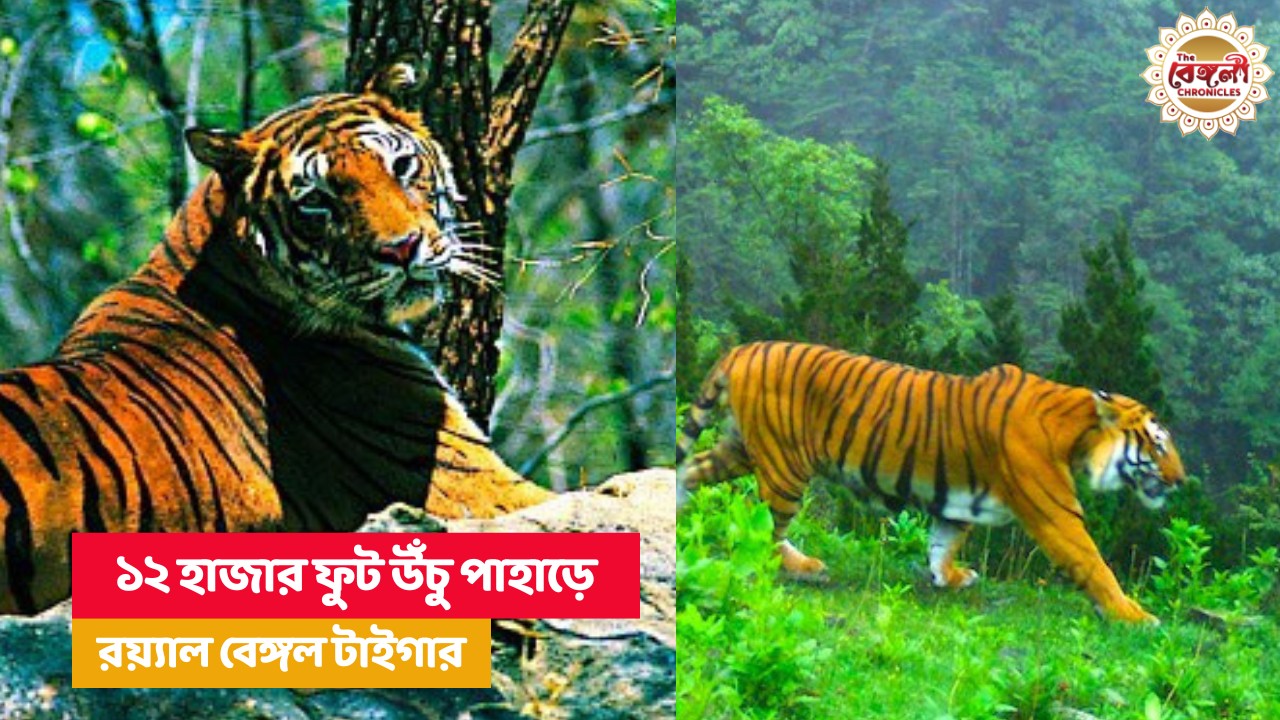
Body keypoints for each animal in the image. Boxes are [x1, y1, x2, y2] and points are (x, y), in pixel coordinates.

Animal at [676, 341, 1186, 623]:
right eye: (1159, 446)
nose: (1180, 481)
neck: (1076, 435)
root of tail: (744, 348)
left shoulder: (962, 501)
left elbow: (944, 542)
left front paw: (950, 578)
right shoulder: (1056, 513)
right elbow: (1095, 564)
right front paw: (1134, 616)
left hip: (743, 448)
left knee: (693, 467)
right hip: (785, 466)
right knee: (767, 529)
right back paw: (801, 566)